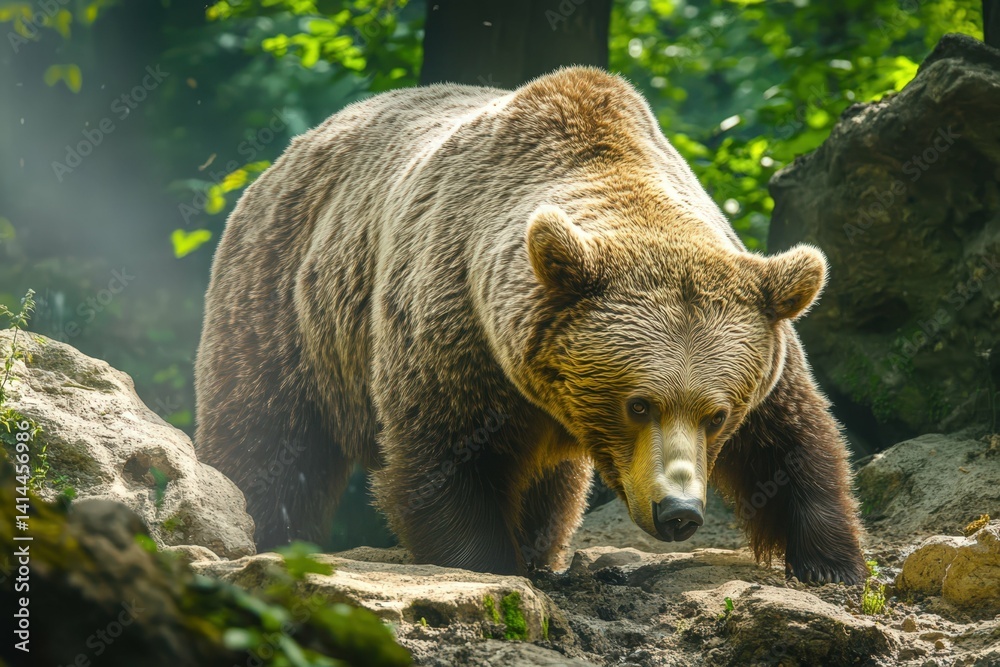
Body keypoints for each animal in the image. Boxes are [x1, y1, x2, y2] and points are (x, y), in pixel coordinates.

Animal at [195, 66, 869, 585]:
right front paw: (490, 563)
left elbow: (792, 439)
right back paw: (259, 526)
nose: (678, 512)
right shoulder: (456, 328)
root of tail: (292, 151)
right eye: (639, 405)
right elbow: (442, 455)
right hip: (283, 303)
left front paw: (832, 563)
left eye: (717, 413)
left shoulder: (760, 336)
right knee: (268, 434)